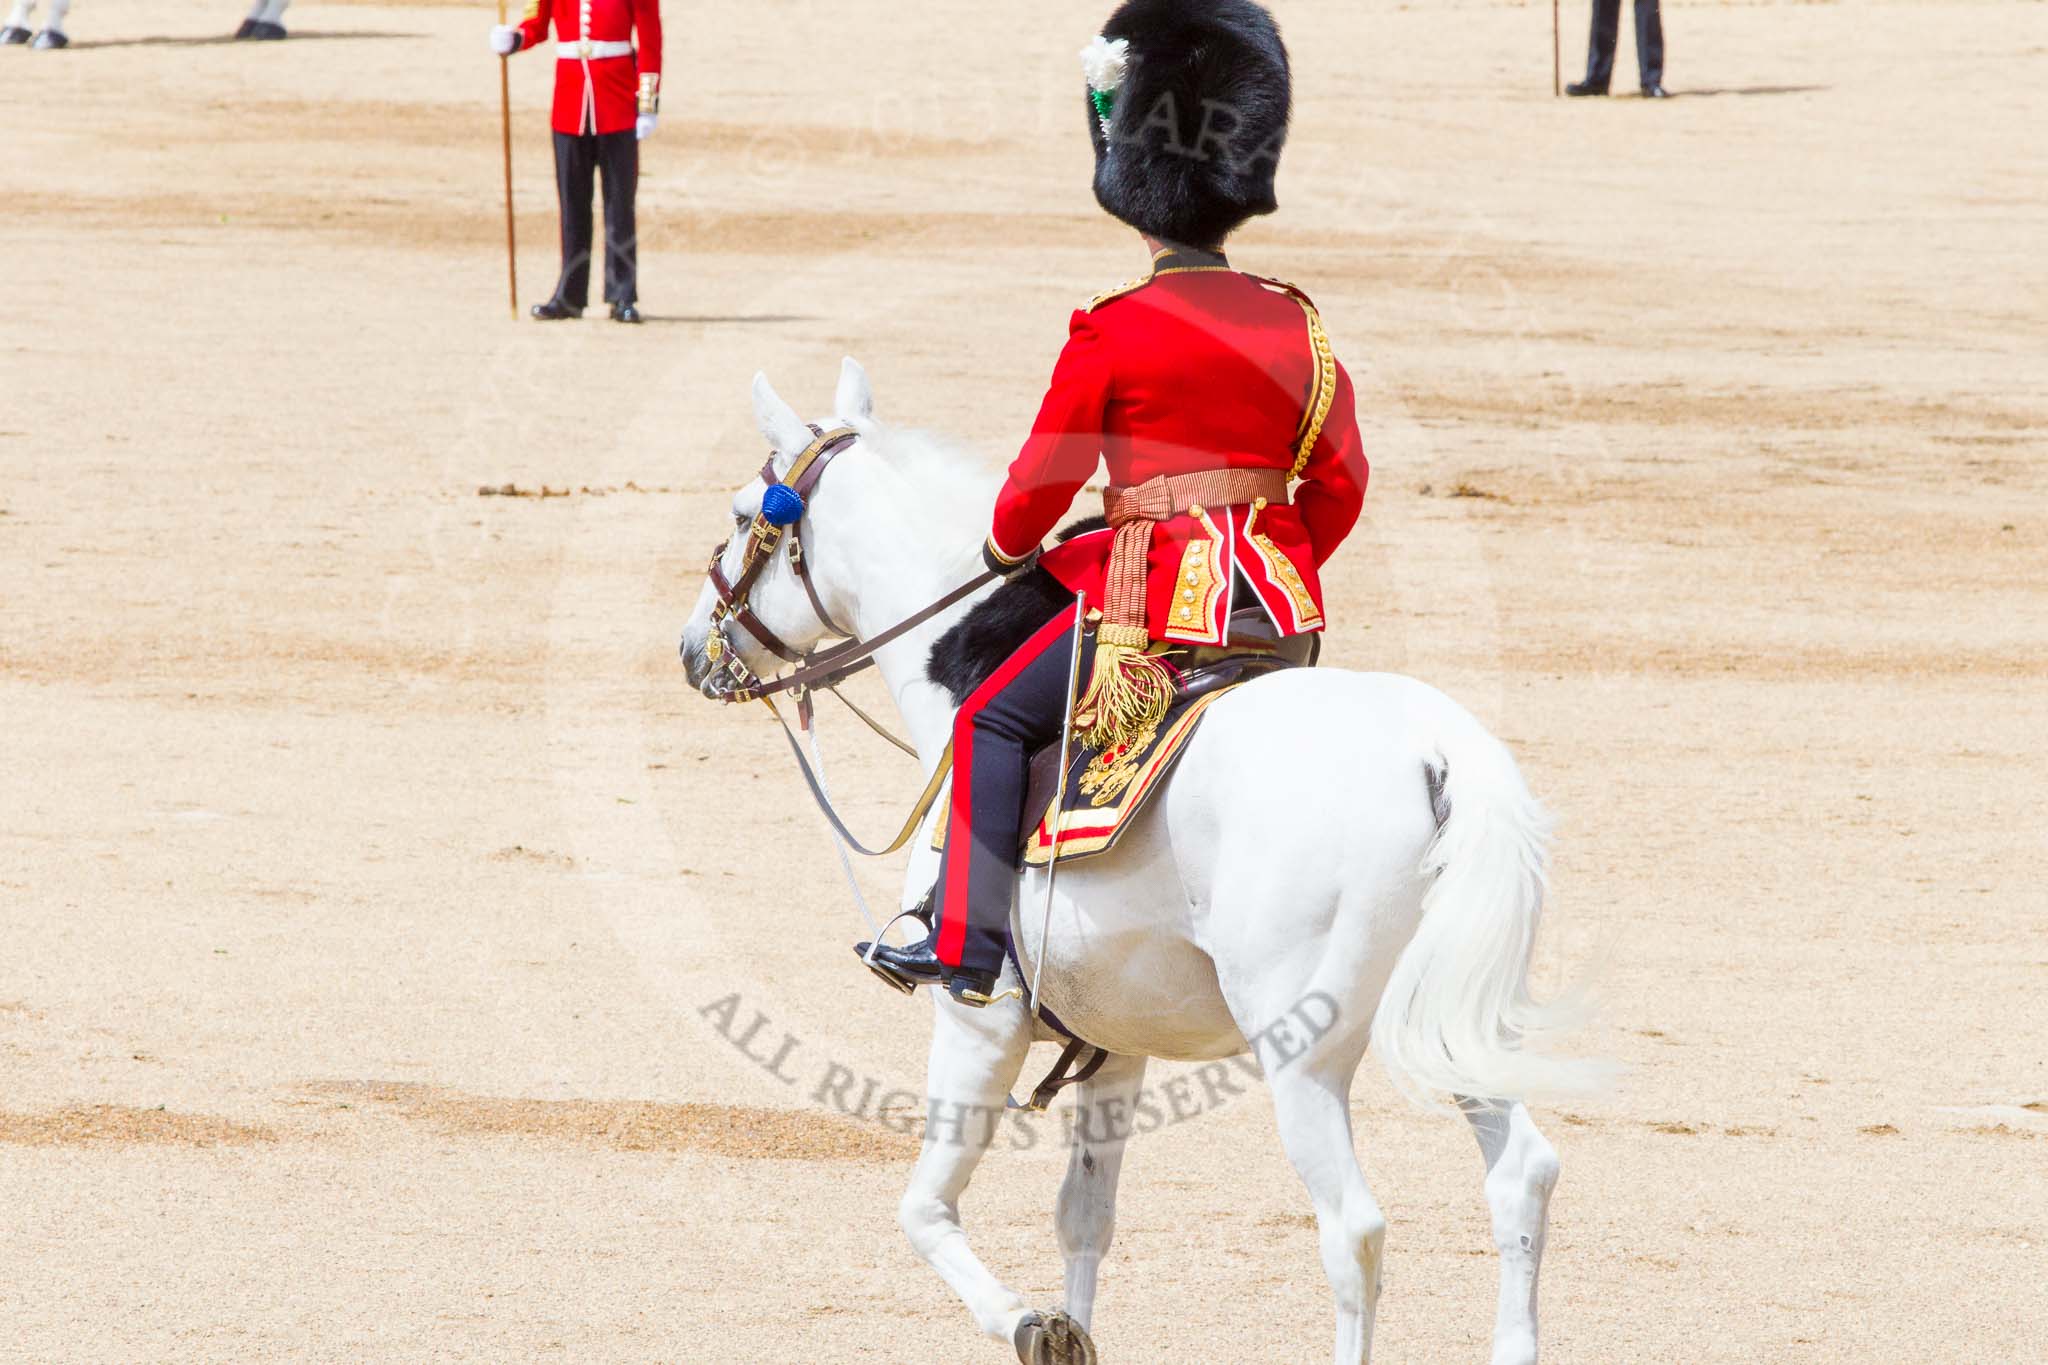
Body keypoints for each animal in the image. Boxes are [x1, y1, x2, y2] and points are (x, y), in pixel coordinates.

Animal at [679, 360, 1605, 1365]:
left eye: (743, 512)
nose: (694, 648)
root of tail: (1435, 748)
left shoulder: (980, 1019)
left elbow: (924, 1209)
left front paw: (1028, 1321)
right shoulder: (1112, 1039)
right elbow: (1084, 1213)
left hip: (1304, 1053)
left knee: (1353, 1228)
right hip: (1446, 1020)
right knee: (1522, 1174)